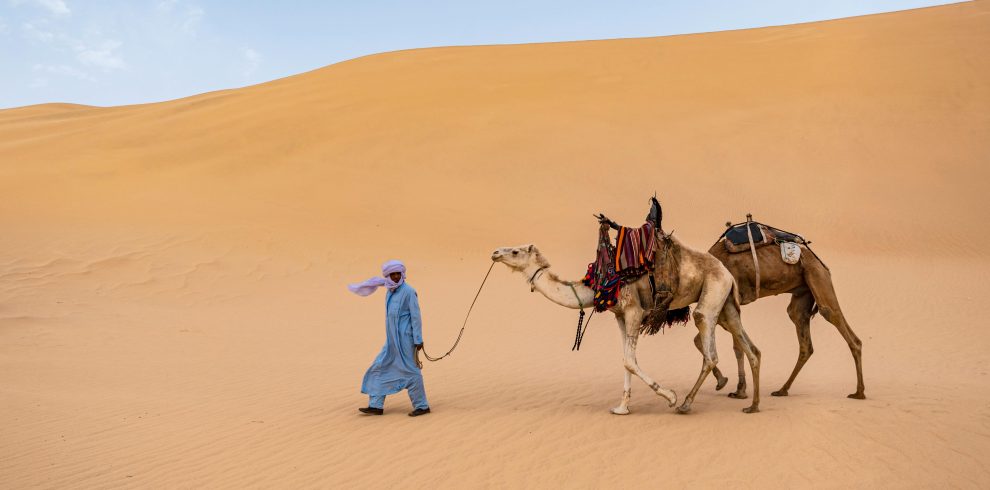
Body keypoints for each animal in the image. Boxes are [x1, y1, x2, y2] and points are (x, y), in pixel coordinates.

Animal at [491, 236, 763, 415]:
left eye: (515, 251)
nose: (495, 253)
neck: (598, 283)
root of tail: (727, 272)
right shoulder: (620, 315)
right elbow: (625, 359)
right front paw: (622, 407)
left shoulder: (634, 310)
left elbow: (629, 360)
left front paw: (669, 396)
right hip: (726, 303)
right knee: (750, 348)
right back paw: (752, 404)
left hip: (712, 293)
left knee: (709, 346)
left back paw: (685, 403)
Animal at [708, 234, 865, 399]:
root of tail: (821, 263)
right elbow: (733, 346)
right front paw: (736, 388)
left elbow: (734, 345)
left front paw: (734, 388)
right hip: (803, 293)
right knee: (804, 338)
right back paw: (782, 390)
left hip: (818, 276)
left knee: (834, 317)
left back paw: (859, 392)